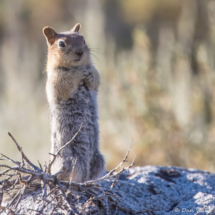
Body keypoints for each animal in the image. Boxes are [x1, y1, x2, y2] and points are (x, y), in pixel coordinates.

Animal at [42, 23, 105, 181]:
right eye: (61, 44)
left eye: (83, 40)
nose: (80, 52)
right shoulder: (56, 79)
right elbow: (67, 81)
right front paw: (78, 74)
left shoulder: (95, 71)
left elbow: (95, 79)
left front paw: (88, 76)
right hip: (74, 162)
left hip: (99, 161)